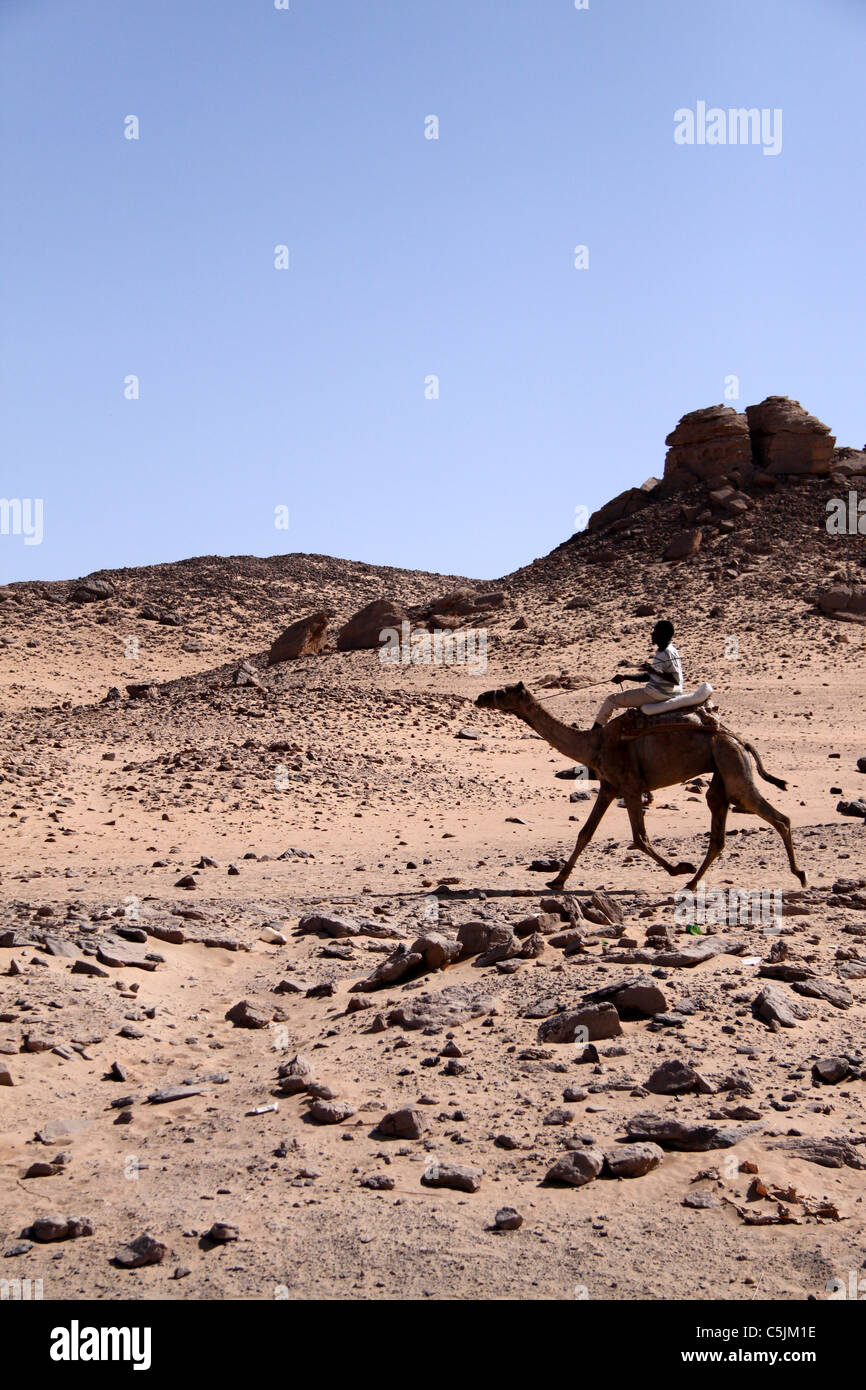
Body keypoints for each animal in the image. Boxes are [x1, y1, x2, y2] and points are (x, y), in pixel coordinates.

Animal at [475, 681, 806, 889]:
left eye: (505, 692)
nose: (481, 697)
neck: (593, 744)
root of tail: (740, 740)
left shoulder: (631, 786)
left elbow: (639, 838)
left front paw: (677, 868)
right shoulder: (610, 787)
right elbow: (585, 833)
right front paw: (556, 880)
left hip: (732, 766)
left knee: (778, 817)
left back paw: (800, 874)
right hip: (722, 772)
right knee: (718, 828)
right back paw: (692, 883)